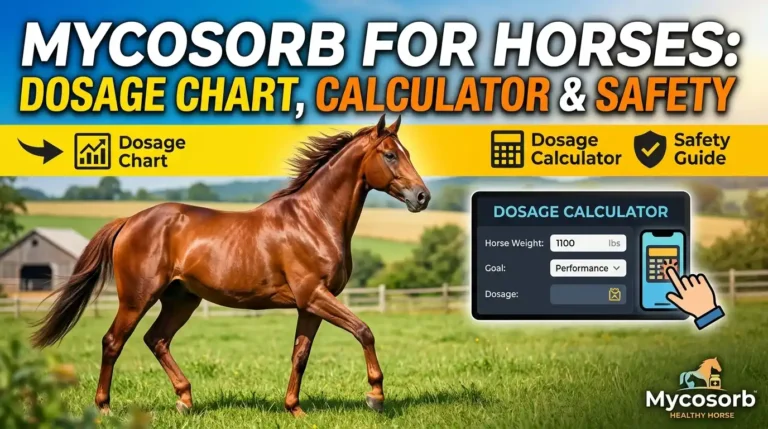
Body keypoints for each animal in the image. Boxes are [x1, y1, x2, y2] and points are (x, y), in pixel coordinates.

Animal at [30, 115, 430, 417]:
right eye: (390, 155)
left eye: (407, 152)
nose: (422, 196)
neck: (313, 220)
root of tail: (129, 220)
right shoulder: (314, 295)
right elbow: (364, 331)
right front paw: (375, 397)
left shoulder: (310, 303)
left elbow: (300, 354)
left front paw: (294, 409)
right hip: (137, 298)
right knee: (113, 342)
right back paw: (104, 408)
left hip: (181, 299)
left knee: (156, 339)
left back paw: (185, 400)